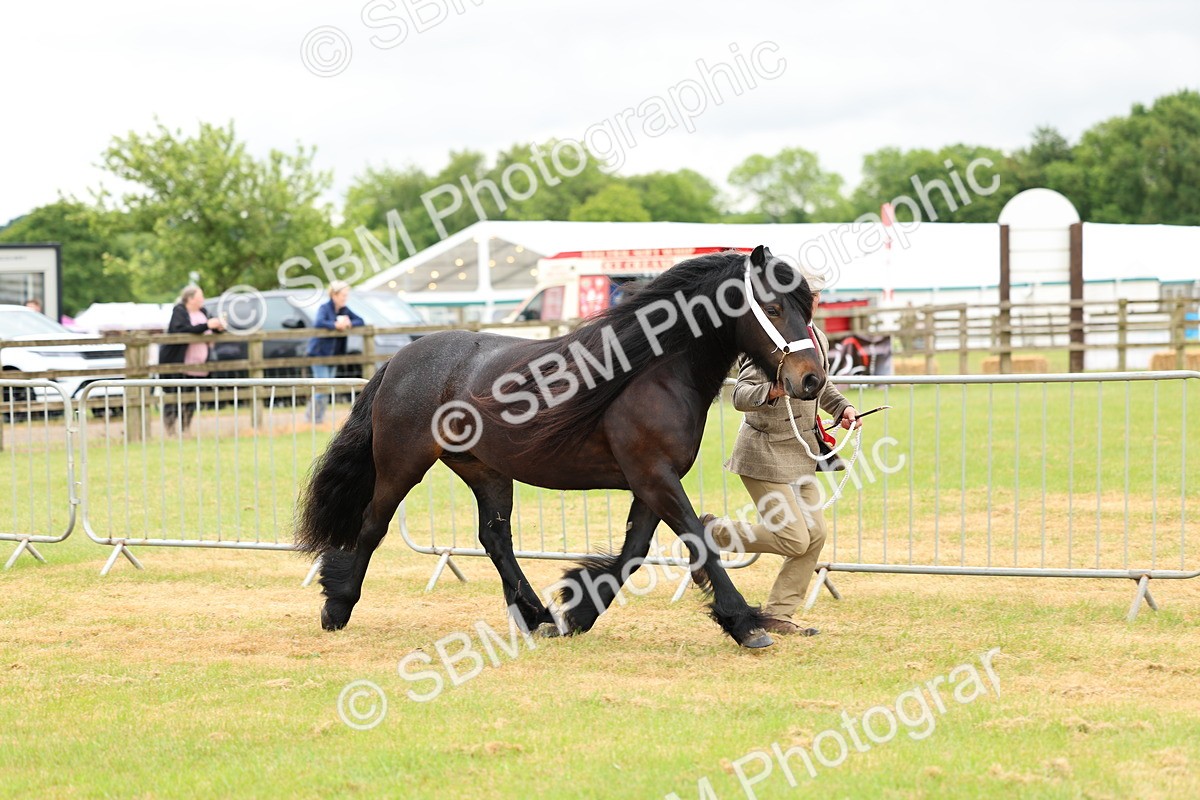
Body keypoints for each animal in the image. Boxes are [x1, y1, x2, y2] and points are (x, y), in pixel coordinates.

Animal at [295, 245, 826, 648]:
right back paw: (337, 605)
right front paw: (744, 624)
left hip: (485, 470)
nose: (812, 380)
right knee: (372, 524)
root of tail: (400, 359)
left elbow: (635, 550)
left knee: (495, 538)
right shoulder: (655, 476)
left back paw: (537, 616)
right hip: (403, 464)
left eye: (808, 308)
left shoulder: (651, 481)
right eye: (773, 308)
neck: (652, 373)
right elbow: (696, 538)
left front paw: (579, 610)